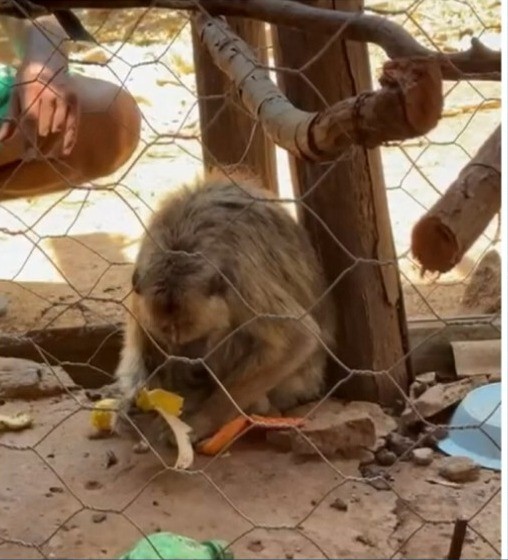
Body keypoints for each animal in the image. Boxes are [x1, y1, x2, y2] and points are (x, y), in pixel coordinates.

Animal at [115, 168, 338, 444]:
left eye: (201, 338)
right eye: (168, 337)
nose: (193, 368)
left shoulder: (240, 280)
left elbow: (298, 337)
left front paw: (202, 419)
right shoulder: (141, 283)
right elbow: (139, 336)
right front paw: (131, 401)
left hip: (297, 382)